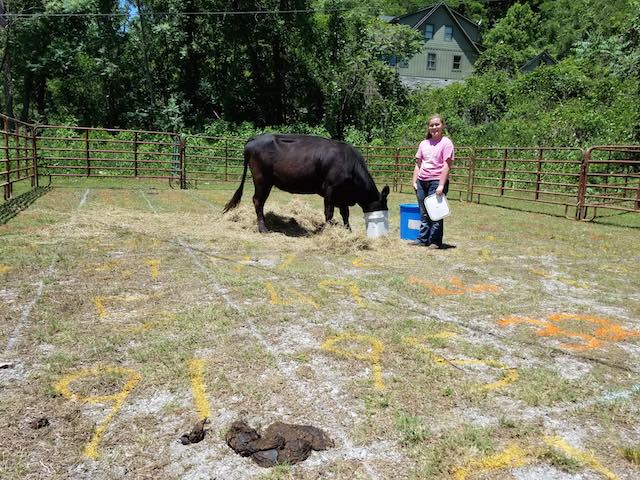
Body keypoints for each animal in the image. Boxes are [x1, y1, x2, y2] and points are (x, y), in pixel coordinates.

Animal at [222, 134, 388, 233]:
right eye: (384, 207)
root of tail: (254, 138)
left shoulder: (342, 195)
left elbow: (345, 213)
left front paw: (348, 231)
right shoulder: (331, 189)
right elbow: (329, 212)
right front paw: (328, 230)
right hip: (262, 180)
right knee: (257, 200)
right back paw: (263, 228)